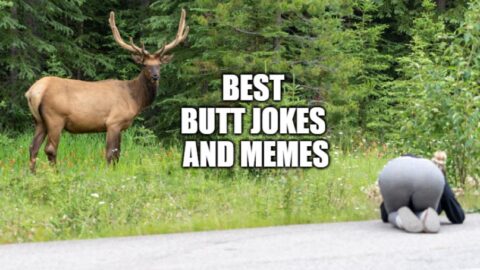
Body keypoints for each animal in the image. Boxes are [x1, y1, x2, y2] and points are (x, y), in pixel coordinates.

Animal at [24, 10, 189, 173]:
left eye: (159, 65)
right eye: (144, 65)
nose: (155, 76)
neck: (135, 99)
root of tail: (33, 92)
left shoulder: (120, 126)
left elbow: (118, 154)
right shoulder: (113, 122)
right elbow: (110, 153)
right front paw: (109, 174)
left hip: (39, 121)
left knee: (33, 147)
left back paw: (33, 174)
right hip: (55, 118)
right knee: (50, 149)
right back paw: (55, 173)